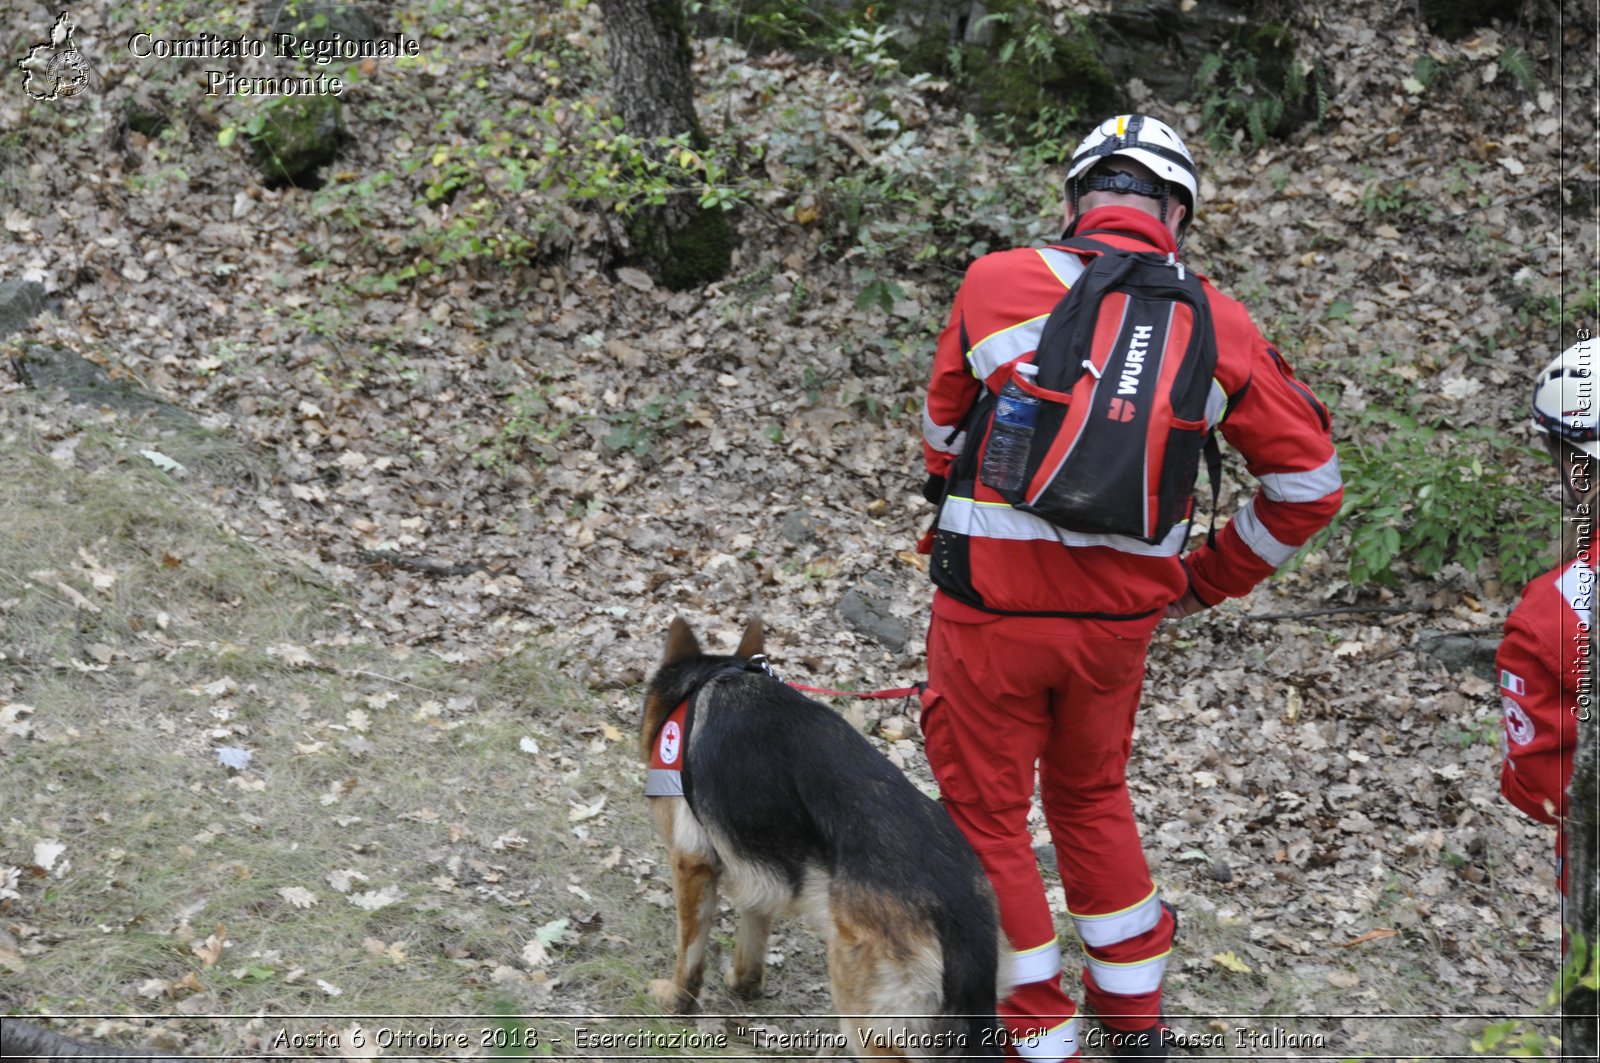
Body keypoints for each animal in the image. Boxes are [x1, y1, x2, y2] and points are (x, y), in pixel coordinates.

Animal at [636, 614, 998, 1056]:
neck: (713, 677)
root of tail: (954, 901)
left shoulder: (691, 862)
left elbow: (688, 952)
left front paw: (676, 1001)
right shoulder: (762, 867)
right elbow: (752, 934)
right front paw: (743, 985)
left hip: (865, 1015)